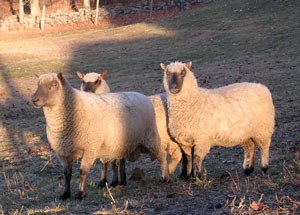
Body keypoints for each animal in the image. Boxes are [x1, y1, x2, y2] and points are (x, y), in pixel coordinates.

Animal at [32, 72, 170, 200]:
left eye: (54, 85)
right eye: (37, 84)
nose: (34, 100)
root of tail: (142, 96)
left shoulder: (90, 148)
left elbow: (83, 172)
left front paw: (80, 193)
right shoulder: (63, 152)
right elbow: (67, 174)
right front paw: (65, 194)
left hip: (149, 137)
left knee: (162, 155)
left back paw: (165, 177)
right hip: (124, 143)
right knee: (121, 162)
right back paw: (121, 182)